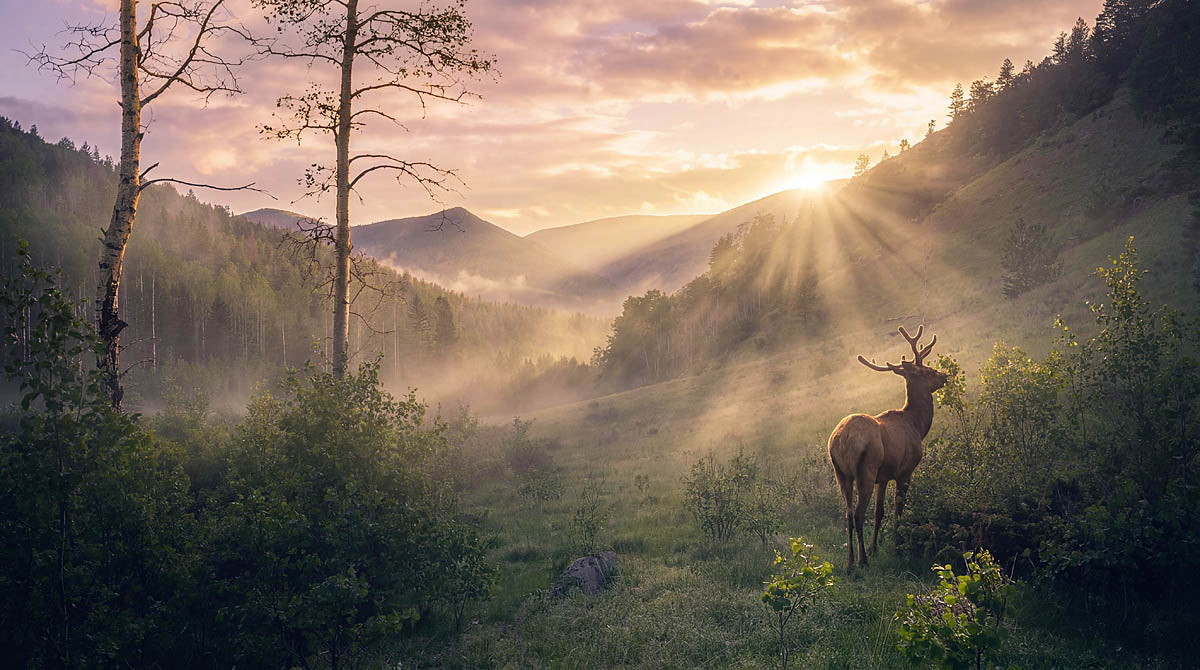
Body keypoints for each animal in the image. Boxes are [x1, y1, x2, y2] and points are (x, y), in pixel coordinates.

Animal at [828, 325, 946, 572]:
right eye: (927, 371)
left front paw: (875, 548)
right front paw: (896, 548)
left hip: (841, 473)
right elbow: (898, 511)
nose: (944, 375)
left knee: (847, 513)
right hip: (866, 468)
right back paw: (862, 561)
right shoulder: (905, 471)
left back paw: (849, 562)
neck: (917, 425)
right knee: (858, 514)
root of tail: (841, 440)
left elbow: (879, 512)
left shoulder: (882, 477)